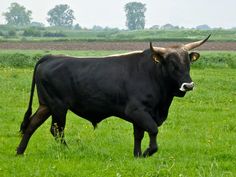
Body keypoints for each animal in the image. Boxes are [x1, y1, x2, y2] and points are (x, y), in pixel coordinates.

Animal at [17, 35, 211, 157]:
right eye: (172, 64)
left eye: (187, 62)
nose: (188, 85)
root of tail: (50, 57)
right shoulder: (137, 111)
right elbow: (152, 130)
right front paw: (147, 152)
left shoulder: (142, 115)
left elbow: (139, 134)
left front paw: (137, 155)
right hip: (58, 106)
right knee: (56, 130)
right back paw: (67, 150)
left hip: (46, 105)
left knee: (32, 125)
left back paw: (20, 151)